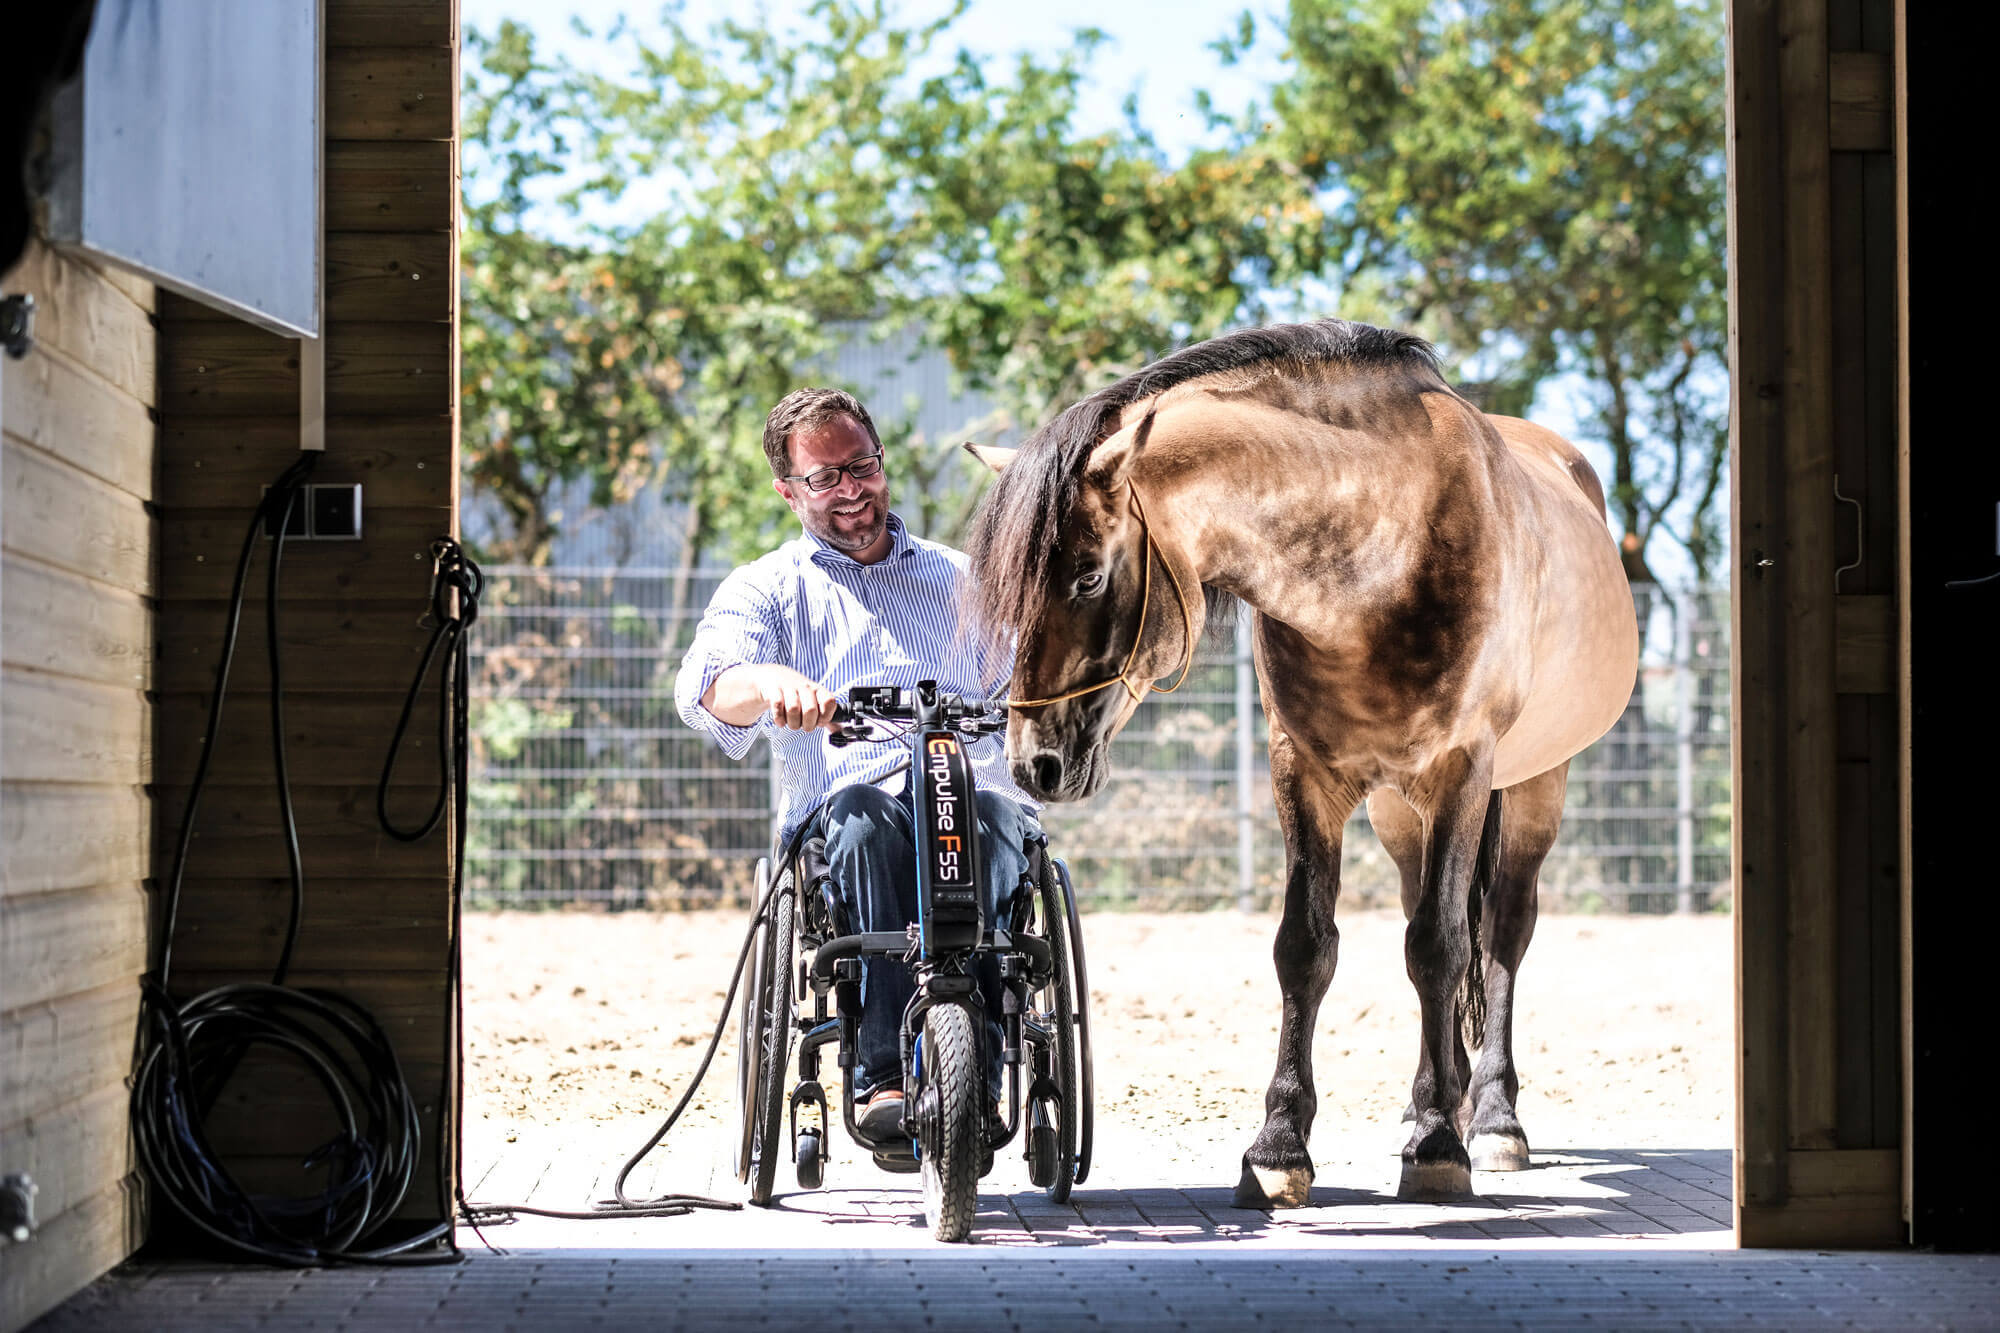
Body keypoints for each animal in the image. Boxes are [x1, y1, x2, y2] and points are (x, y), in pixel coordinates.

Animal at [960, 316, 1632, 1200]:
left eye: (1088, 576)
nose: (1032, 762)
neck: (1384, 551)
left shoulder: (1460, 772)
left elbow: (1441, 946)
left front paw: (1438, 1147)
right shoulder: (1304, 774)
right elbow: (1307, 946)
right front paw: (1279, 1145)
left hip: (1530, 788)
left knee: (1498, 934)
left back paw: (1488, 1119)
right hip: (1397, 811)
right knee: (1433, 918)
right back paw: (1434, 1101)